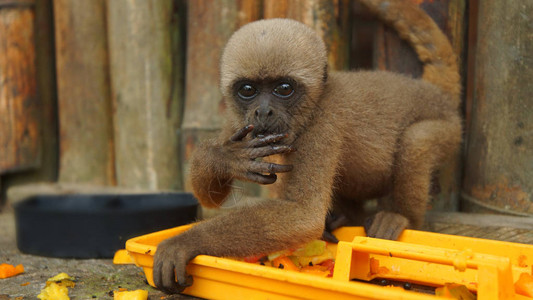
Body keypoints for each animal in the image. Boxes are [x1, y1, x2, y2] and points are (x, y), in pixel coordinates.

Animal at [153, 0, 462, 292]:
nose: (262, 112)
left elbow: (302, 215)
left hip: (449, 129)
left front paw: (183, 243)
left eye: (283, 89)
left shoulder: (322, 125)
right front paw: (226, 158)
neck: (314, 102)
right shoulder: (239, 124)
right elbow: (211, 199)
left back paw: (401, 217)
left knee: (416, 141)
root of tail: (434, 93)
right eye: (248, 90)